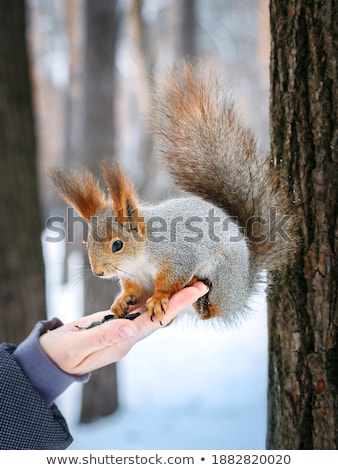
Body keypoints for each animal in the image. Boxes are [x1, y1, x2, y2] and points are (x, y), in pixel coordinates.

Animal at [49, 60, 298, 324]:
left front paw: (158, 298)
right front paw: (122, 300)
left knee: (210, 311)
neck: (140, 257)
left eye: (117, 245)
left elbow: (171, 280)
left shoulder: (178, 256)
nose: (98, 272)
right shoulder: (134, 276)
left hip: (223, 278)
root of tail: (242, 289)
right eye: (87, 242)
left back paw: (198, 290)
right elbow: (134, 290)